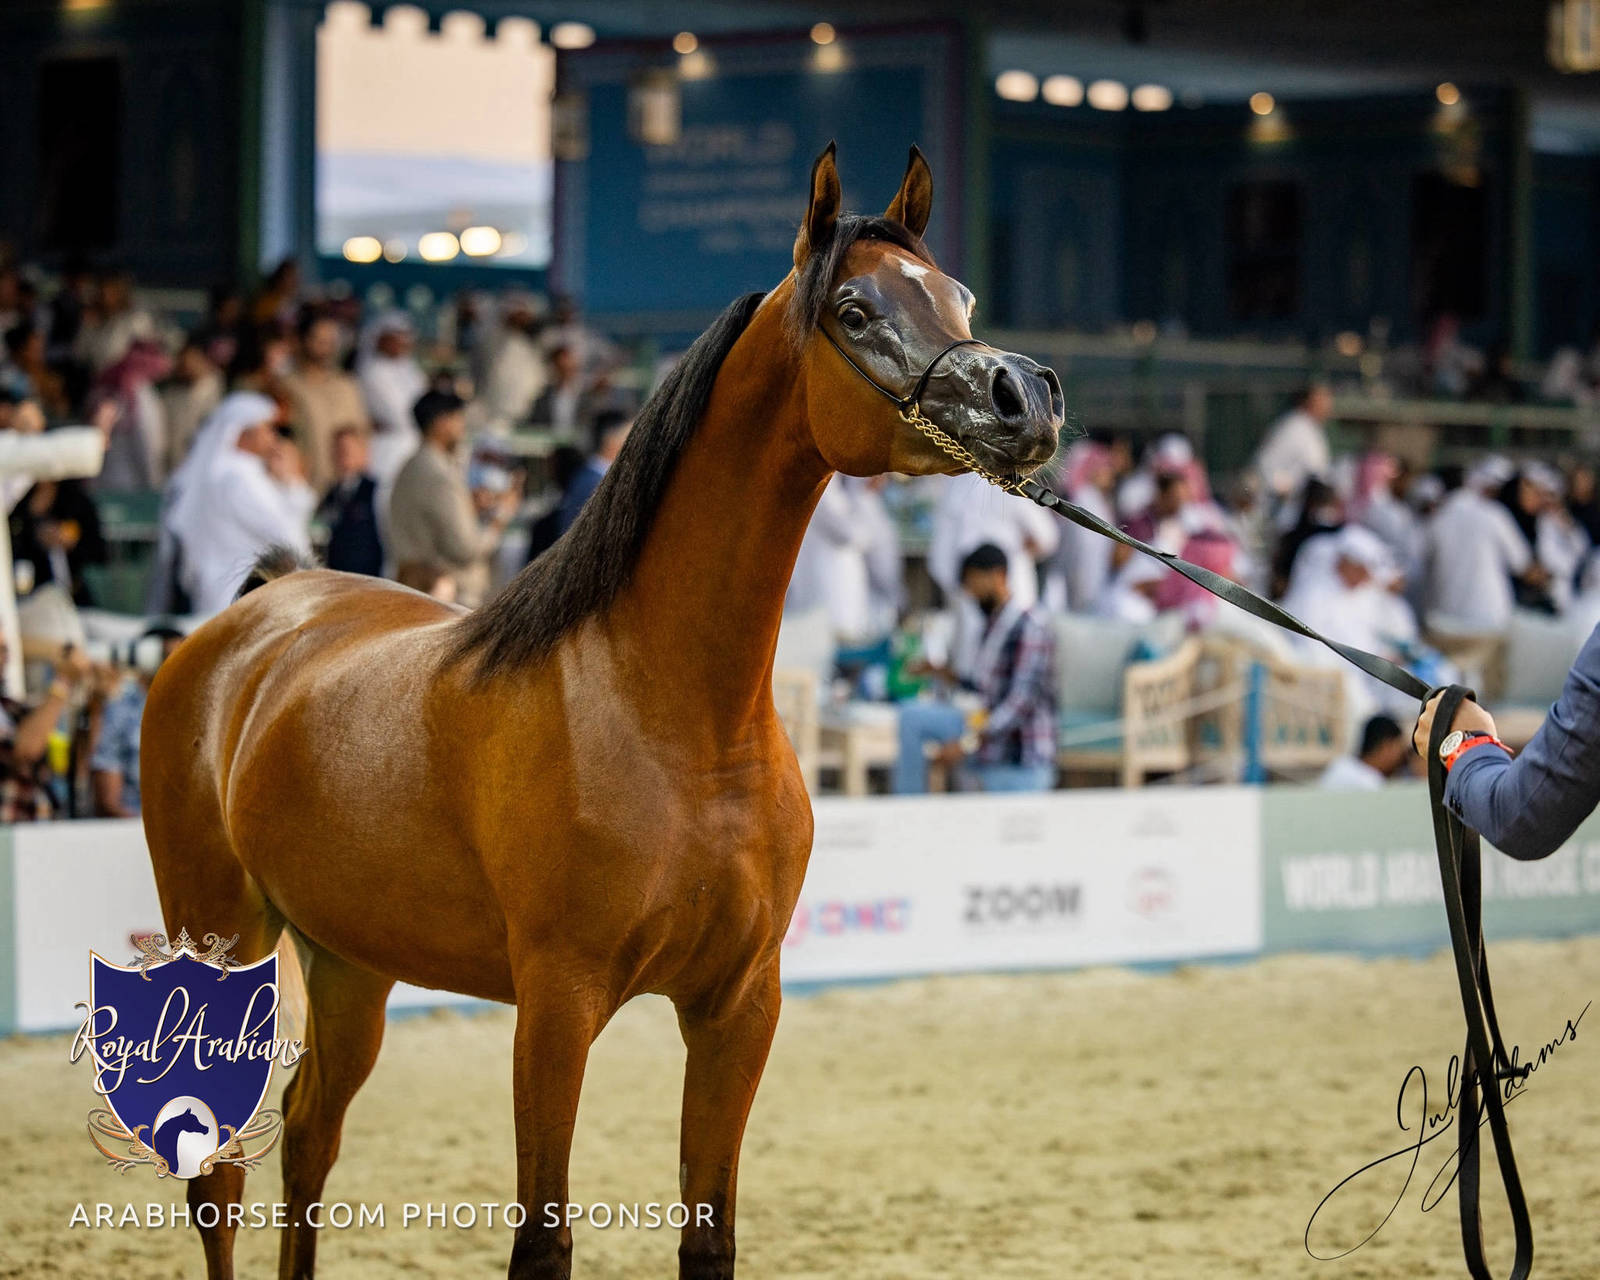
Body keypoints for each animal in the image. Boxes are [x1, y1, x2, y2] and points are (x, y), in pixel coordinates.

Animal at [140, 143, 1064, 1280]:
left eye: (959, 296)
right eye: (855, 309)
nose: (1023, 398)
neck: (673, 714)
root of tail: (258, 612)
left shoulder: (738, 1005)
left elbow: (707, 1233)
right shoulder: (555, 1006)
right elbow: (542, 1240)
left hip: (350, 959)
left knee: (310, 1136)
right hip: (223, 941)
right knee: (218, 1177)